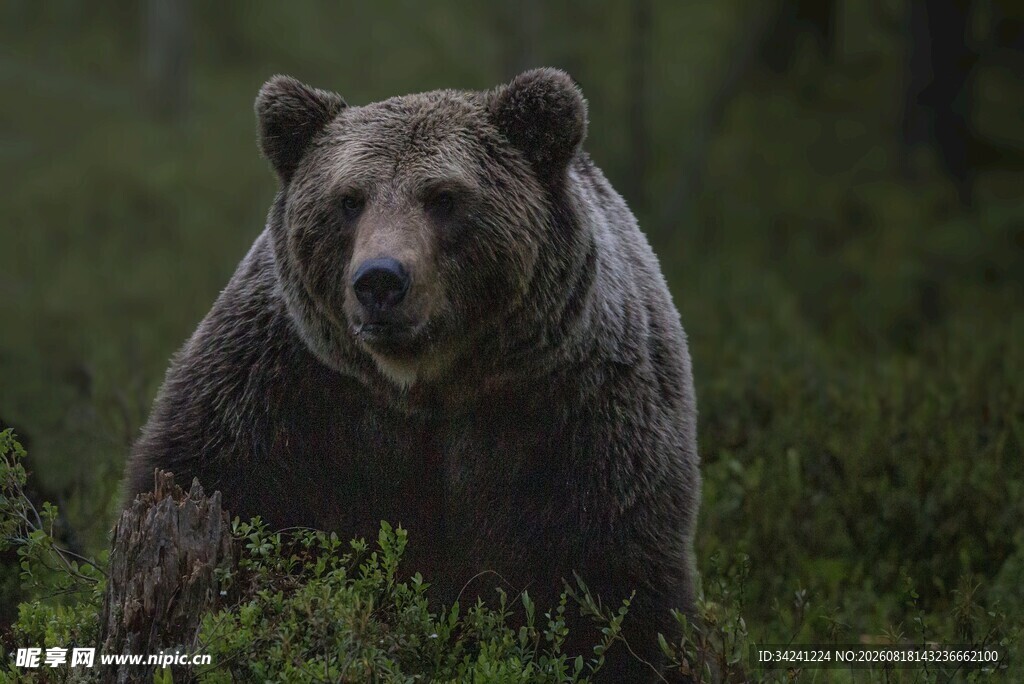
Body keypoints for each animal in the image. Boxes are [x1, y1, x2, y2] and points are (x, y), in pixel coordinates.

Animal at [124, 68, 701, 681]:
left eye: (443, 197)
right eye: (349, 199)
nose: (380, 280)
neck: (427, 385)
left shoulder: (576, 411)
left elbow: (613, 581)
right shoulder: (282, 388)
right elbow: (216, 478)